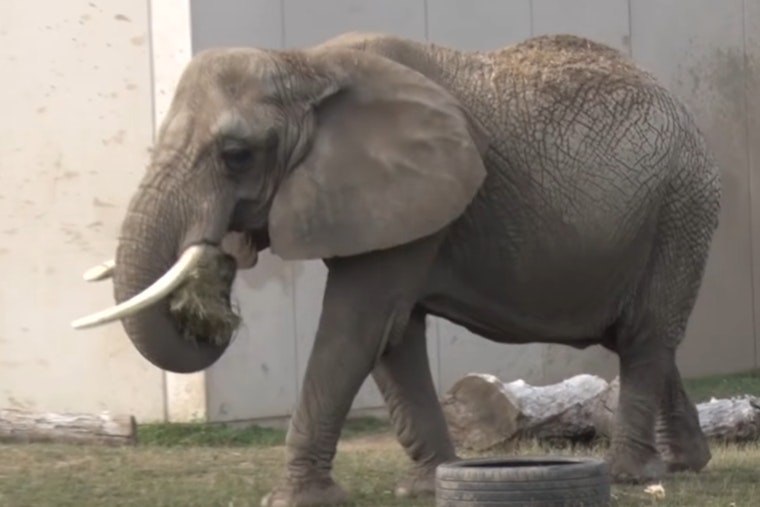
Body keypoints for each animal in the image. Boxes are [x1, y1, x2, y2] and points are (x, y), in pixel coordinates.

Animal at [72, 31, 721, 506]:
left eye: (236, 155)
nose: (221, 265)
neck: (306, 65)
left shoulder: (413, 194)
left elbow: (357, 326)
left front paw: (295, 500)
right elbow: (393, 336)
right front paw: (427, 485)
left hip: (681, 209)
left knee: (644, 338)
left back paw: (631, 474)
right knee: (640, 339)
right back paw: (686, 463)